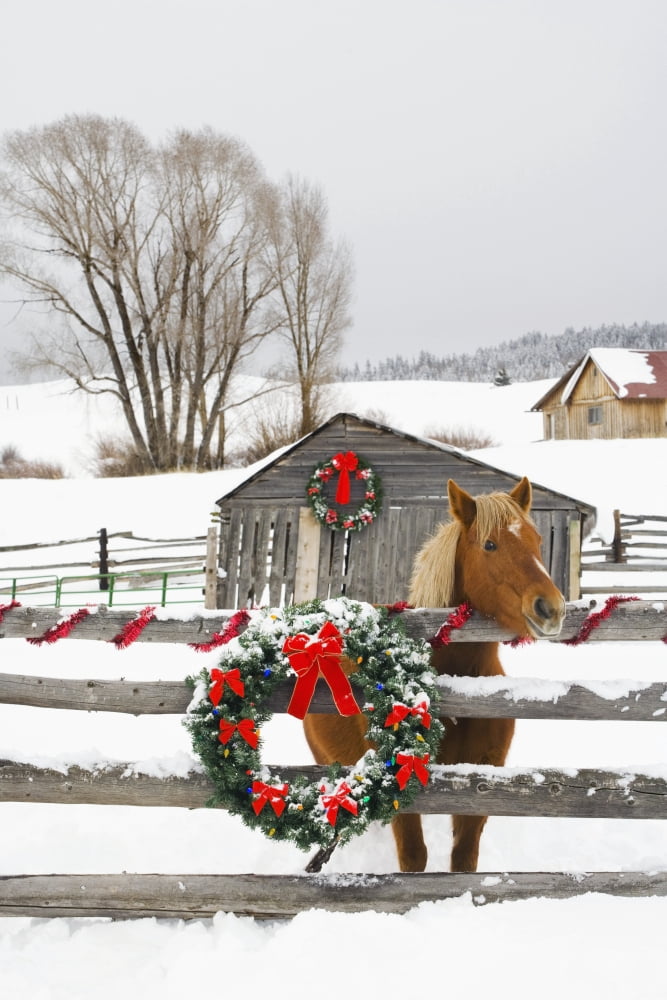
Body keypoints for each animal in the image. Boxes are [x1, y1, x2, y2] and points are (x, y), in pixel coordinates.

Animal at [303, 475, 566, 872]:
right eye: (490, 544)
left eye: (537, 540)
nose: (551, 608)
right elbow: (414, 858)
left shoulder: (480, 787)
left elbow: (463, 860)